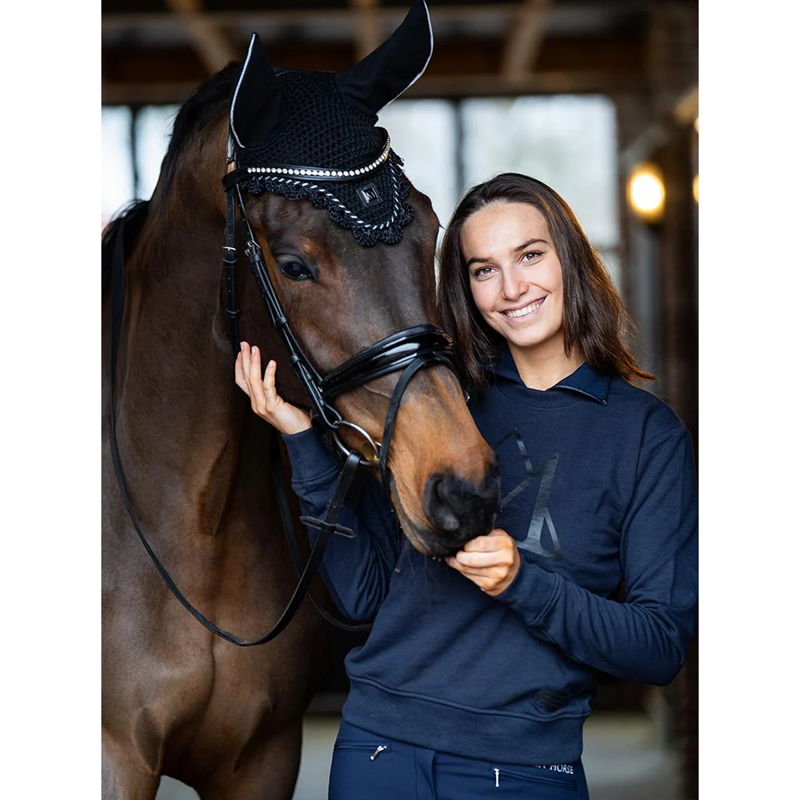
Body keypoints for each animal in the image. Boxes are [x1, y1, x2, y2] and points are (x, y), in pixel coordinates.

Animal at [101, 3, 500, 798]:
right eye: (293, 265)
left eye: (432, 228)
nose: (462, 489)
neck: (191, 518)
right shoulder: (110, 757)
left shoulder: (263, 757)